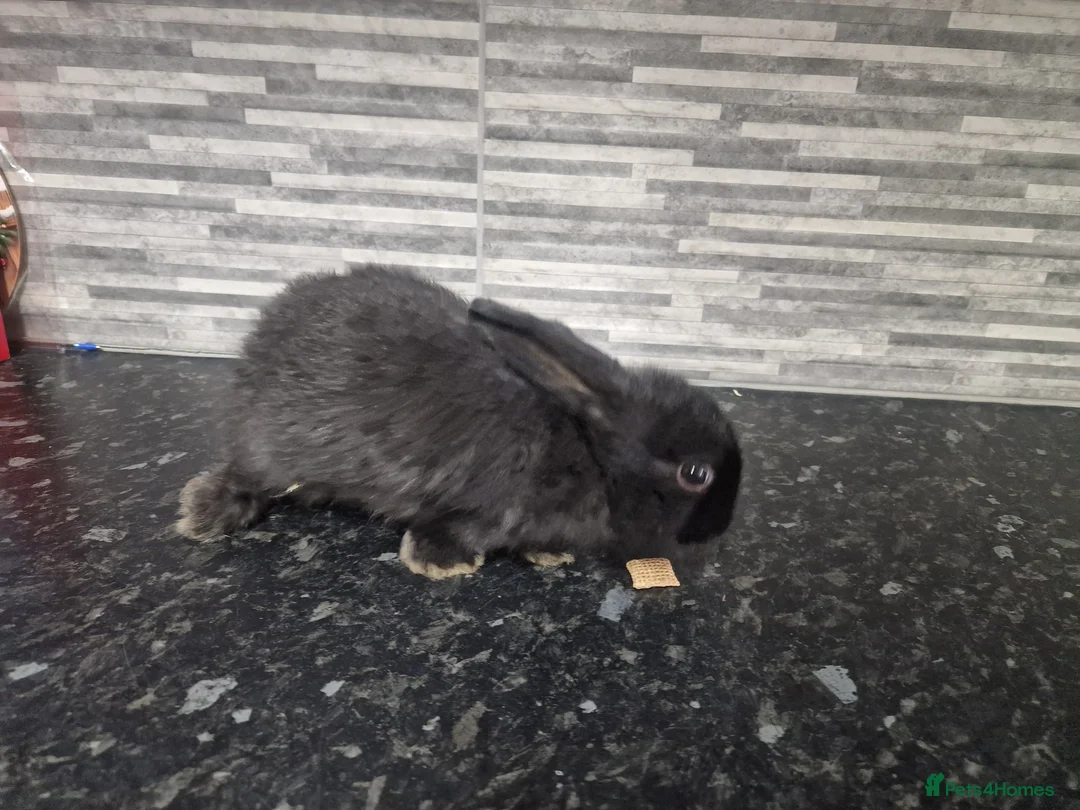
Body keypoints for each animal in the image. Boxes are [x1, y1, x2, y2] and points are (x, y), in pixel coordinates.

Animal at [175, 264, 743, 580]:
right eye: (696, 474)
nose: (719, 531)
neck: (593, 452)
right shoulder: (484, 507)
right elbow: (453, 530)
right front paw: (443, 564)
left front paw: (551, 556)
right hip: (272, 449)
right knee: (245, 477)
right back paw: (203, 513)